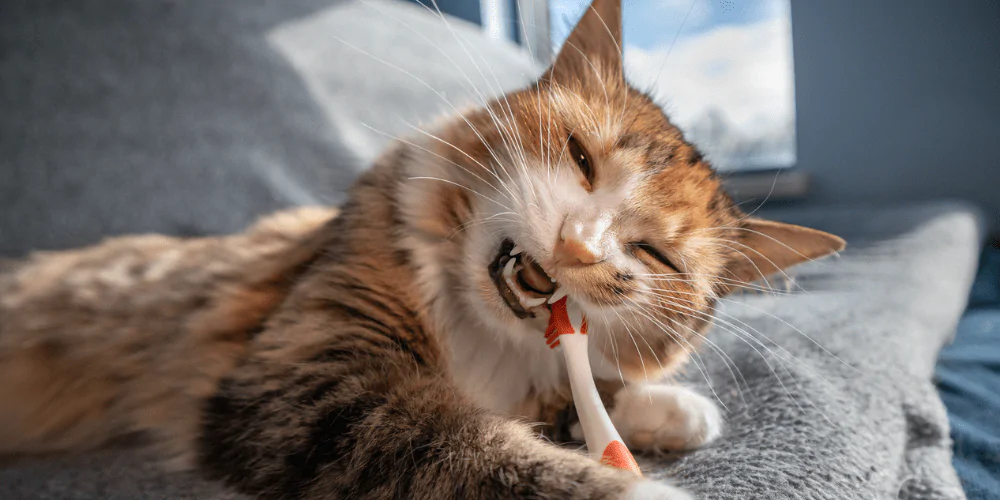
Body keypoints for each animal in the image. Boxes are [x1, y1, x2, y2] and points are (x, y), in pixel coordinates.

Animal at [0, 1, 844, 498]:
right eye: (580, 158)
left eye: (655, 255)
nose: (577, 247)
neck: (483, 339)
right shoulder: (318, 380)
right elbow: (476, 448)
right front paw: (635, 482)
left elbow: (574, 402)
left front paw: (670, 411)